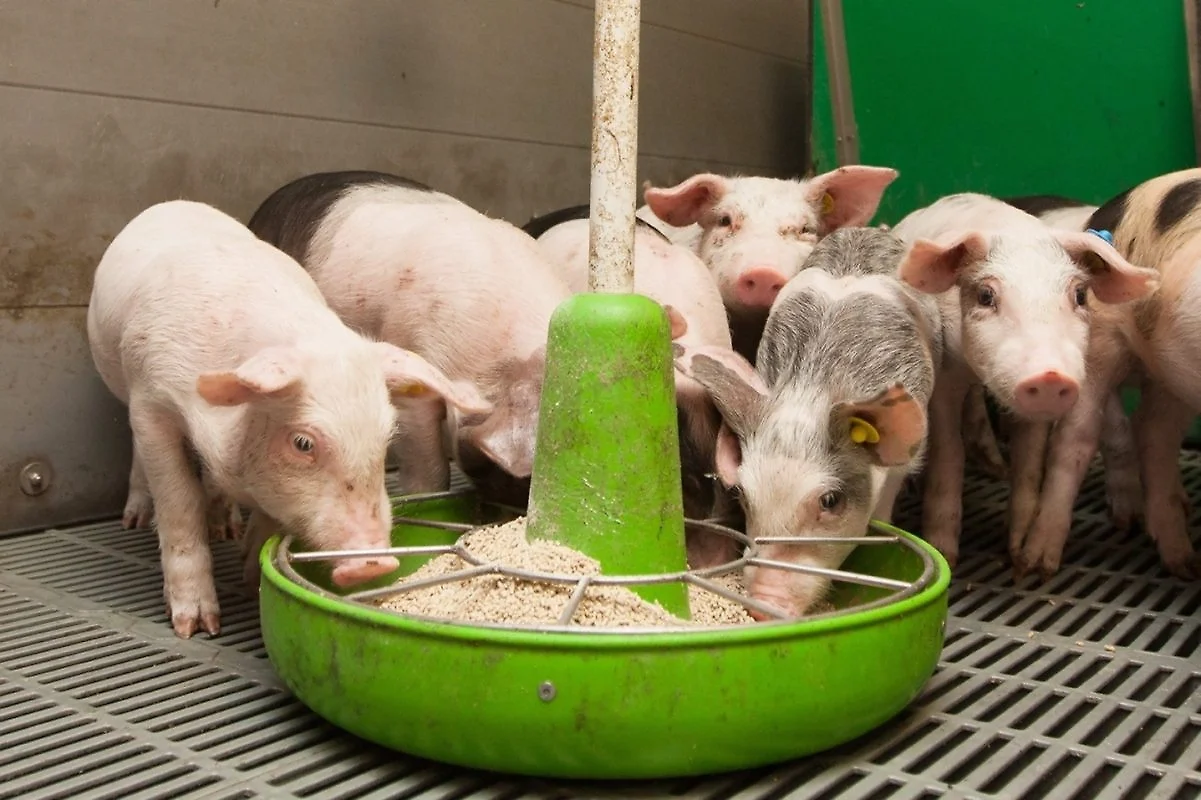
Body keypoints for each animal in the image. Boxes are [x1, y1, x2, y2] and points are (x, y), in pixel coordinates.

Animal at [86, 199, 489, 638]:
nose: (374, 563)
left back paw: (225, 527)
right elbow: (179, 501)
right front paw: (198, 627)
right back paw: (135, 520)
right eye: (302, 443)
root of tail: (175, 203)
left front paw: (250, 580)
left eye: (385, 441)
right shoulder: (151, 399)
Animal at [891, 193, 1160, 568]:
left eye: (1080, 295)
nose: (1049, 376)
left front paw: (1020, 558)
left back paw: (997, 468)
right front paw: (945, 552)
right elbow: (949, 451)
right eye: (985, 295)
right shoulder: (945, 378)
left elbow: (1030, 461)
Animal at [1016, 169, 1201, 579]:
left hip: (1169, 366)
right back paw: (1038, 564)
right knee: (1077, 439)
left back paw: (1181, 561)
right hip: (1100, 340)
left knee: (1152, 432)